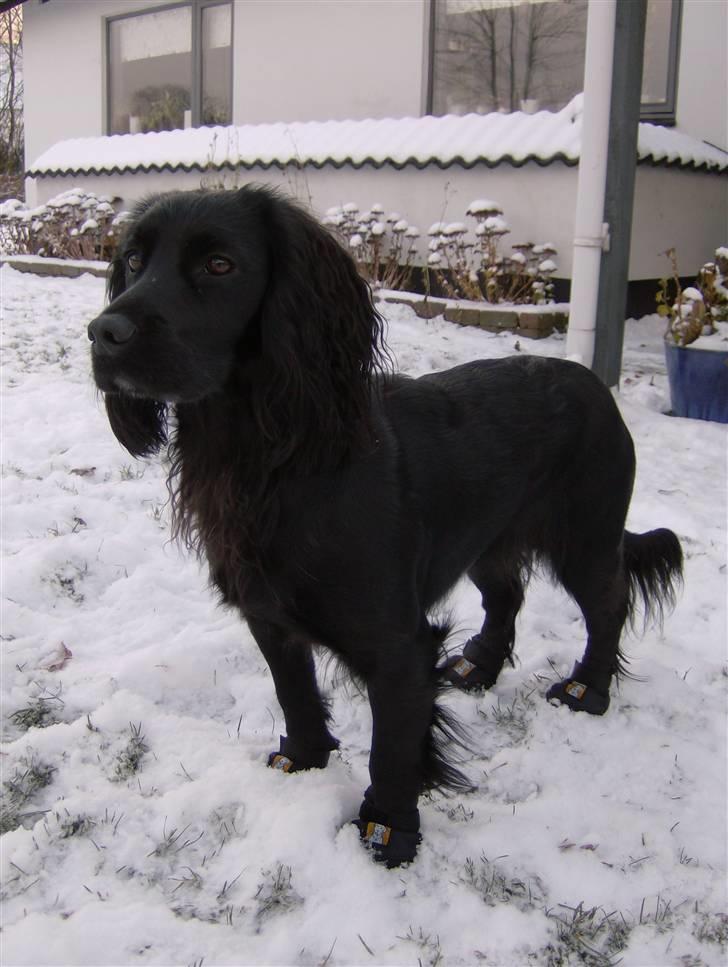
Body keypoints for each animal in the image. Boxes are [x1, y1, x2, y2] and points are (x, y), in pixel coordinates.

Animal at [88, 185, 684, 864]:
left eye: (220, 265)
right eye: (134, 260)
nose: (103, 333)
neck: (271, 461)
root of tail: (594, 383)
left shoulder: (398, 646)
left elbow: (393, 749)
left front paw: (387, 832)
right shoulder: (271, 618)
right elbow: (295, 695)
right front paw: (303, 761)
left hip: (585, 534)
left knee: (608, 604)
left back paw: (588, 691)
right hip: (486, 540)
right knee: (507, 594)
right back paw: (478, 667)